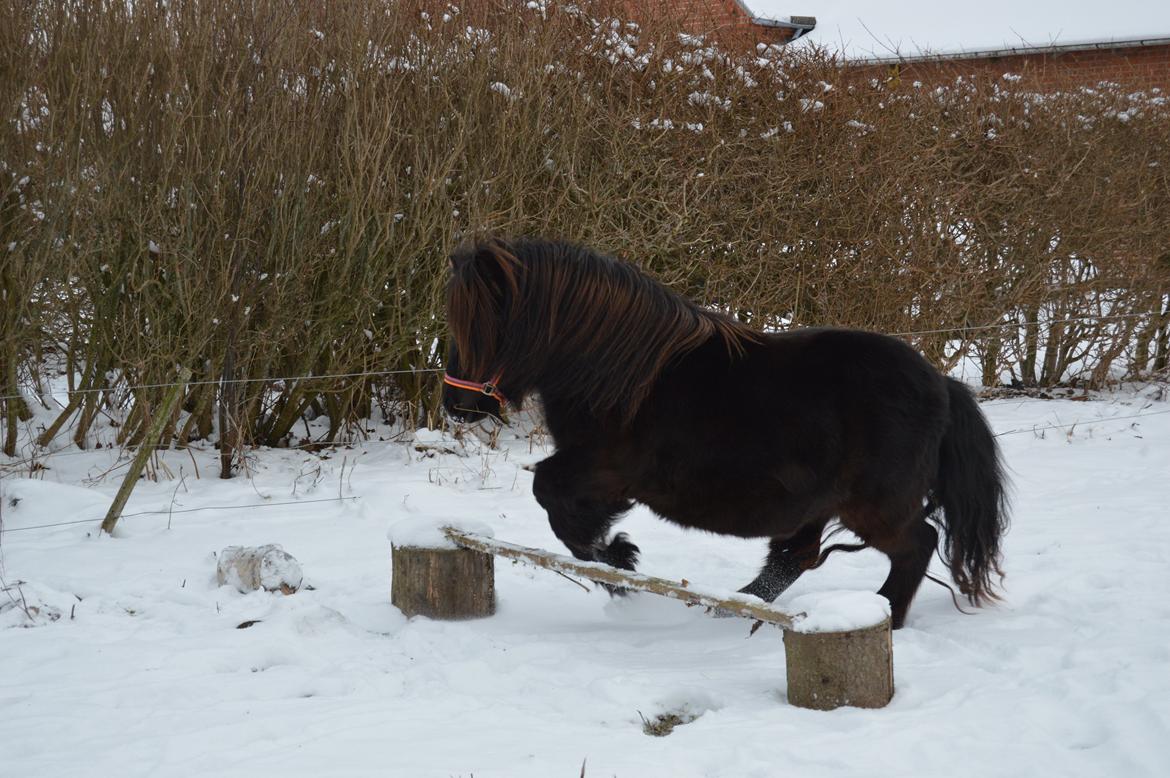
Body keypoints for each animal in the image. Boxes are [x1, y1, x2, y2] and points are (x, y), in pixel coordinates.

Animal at [439, 235, 1006, 627]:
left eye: (481, 326)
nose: (455, 405)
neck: (613, 371)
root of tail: (941, 383)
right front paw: (619, 560)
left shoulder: (603, 470)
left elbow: (552, 501)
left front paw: (619, 563)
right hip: (818, 504)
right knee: (795, 557)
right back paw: (739, 607)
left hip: (874, 508)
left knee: (916, 544)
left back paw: (880, 614)